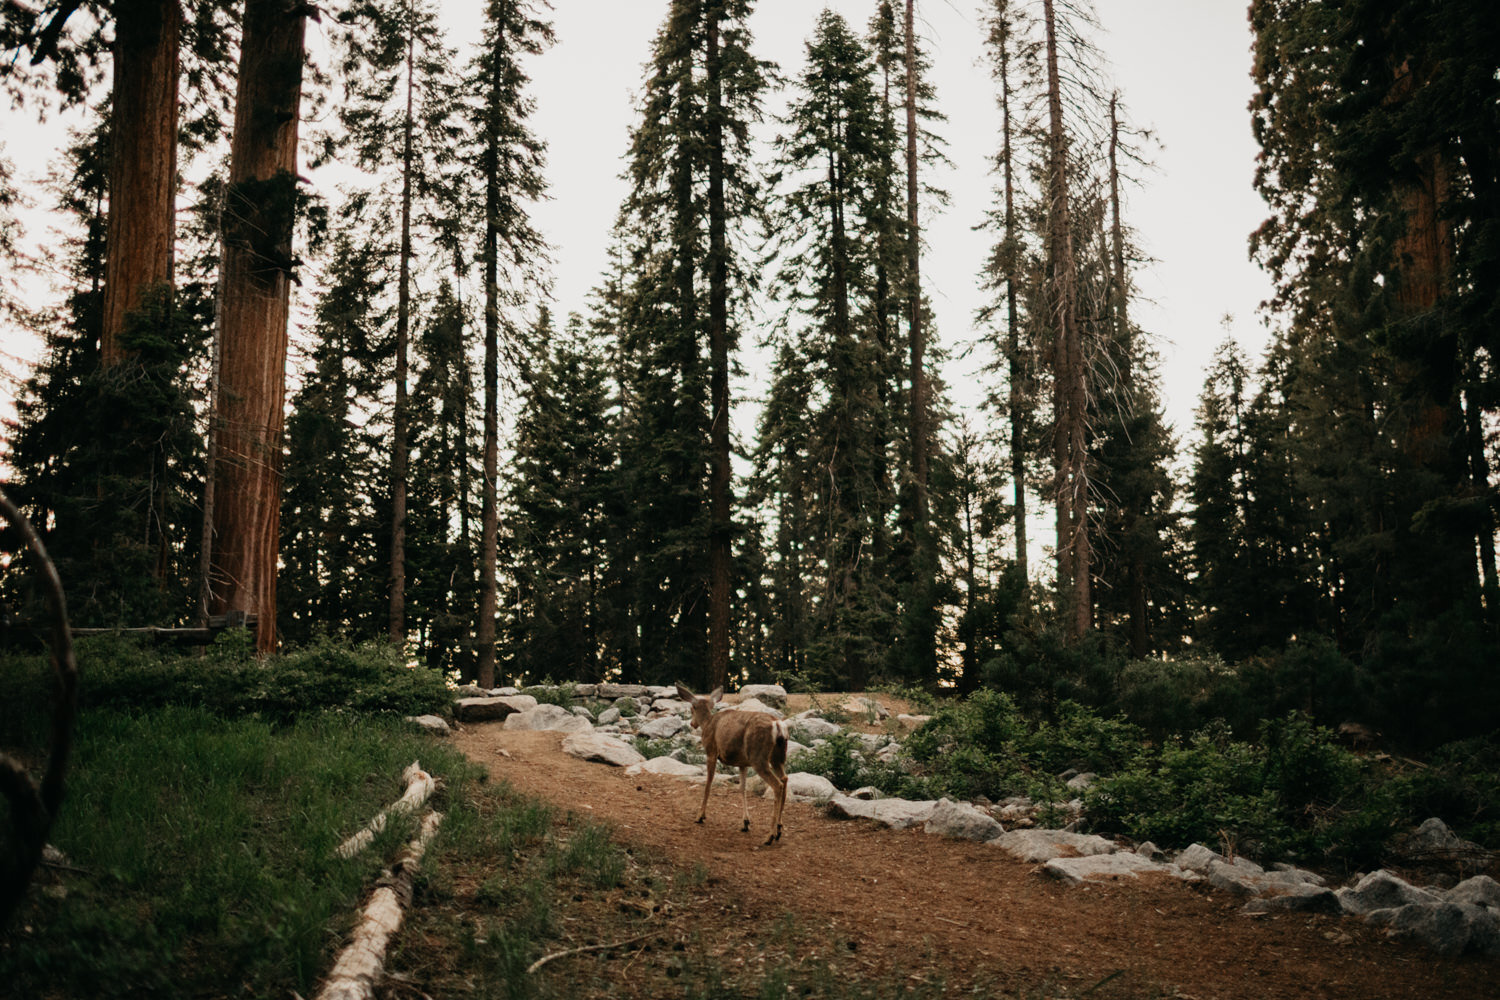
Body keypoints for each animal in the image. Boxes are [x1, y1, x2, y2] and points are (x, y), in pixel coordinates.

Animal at [681, 680, 798, 845]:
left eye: (691, 709)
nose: (692, 724)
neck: (708, 723)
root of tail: (777, 725)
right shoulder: (743, 763)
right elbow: (742, 788)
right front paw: (745, 822)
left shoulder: (711, 751)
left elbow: (708, 783)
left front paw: (700, 816)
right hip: (778, 757)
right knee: (785, 778)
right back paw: (779, 829)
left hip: (758, 757)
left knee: (778, 784)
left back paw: (770, 836)